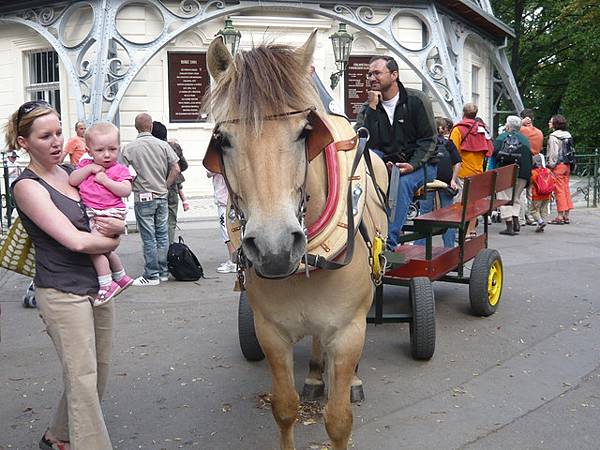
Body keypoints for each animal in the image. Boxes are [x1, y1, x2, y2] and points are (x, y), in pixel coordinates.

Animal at [203, 31, 390, 450]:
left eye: (305, 132)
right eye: (222, 139)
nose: (274, 249)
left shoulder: (348, 330)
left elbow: (338, 420)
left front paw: (344, 389)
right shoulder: (270, 332)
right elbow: (284, 407)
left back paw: (349, 379)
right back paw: (316, 375)